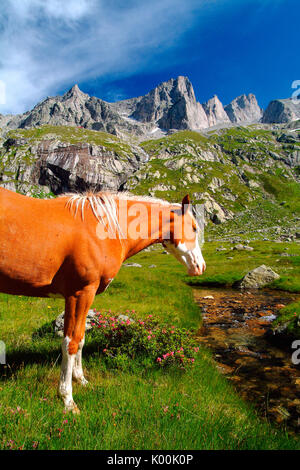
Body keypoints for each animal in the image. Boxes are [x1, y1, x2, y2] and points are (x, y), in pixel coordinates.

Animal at [0, 187, 205, 412]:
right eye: (194, 228)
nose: (200, 266)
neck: (101, 228)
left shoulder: (81, 296)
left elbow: (81, 338)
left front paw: (80, 380)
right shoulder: (80, 293)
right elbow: (71, 343)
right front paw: (67, 399)